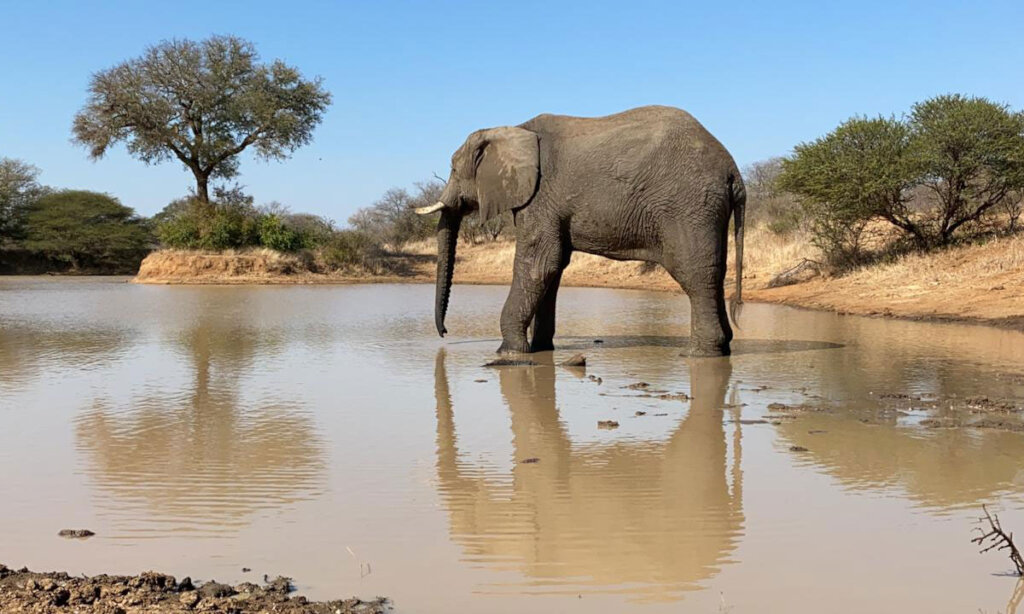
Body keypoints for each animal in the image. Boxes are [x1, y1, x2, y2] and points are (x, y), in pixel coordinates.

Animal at [417, 105, 746, 357]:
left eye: (453, 169)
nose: (444, 333)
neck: (512, 129)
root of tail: (733, 170)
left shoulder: (540, 196)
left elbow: (539, 265)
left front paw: (508, 352)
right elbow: (553, 269)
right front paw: (540, 350)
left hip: (688, 205)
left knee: (694, 274)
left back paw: (700, 354)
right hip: (706, 209)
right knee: (714, 272)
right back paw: (724, 348)